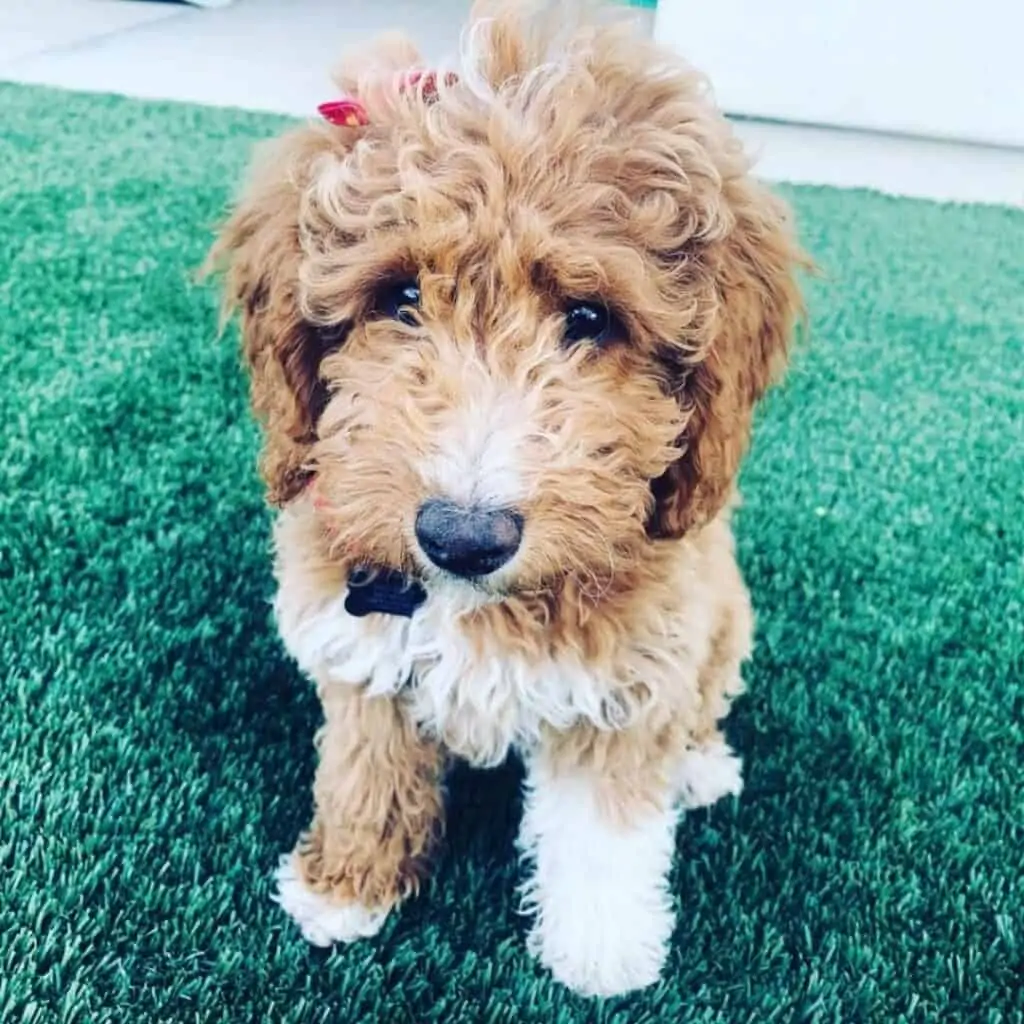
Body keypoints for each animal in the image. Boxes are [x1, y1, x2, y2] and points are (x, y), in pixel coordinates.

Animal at [211, 0, 802, 991]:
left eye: (590, 319)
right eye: (399, 297)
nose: (461, 536)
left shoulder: (630, 675)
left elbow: (603, 829)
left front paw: (601, 949)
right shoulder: (358, 646)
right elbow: (365, 768)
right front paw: (346, 884)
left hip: (723, 619)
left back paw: (698, 767)